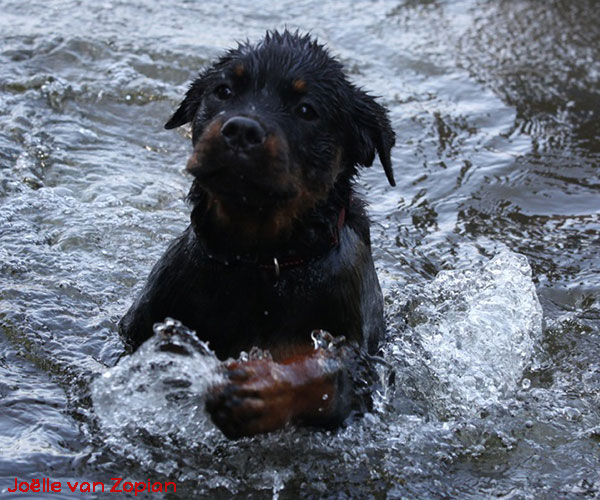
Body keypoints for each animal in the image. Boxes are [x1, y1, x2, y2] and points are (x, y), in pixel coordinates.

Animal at [119, 30, 396, 438]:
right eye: (223, 90)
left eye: (307, 111)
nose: (241, 129)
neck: (256, 260)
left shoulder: (359, 359)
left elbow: (330, 379)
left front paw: (264, 390)